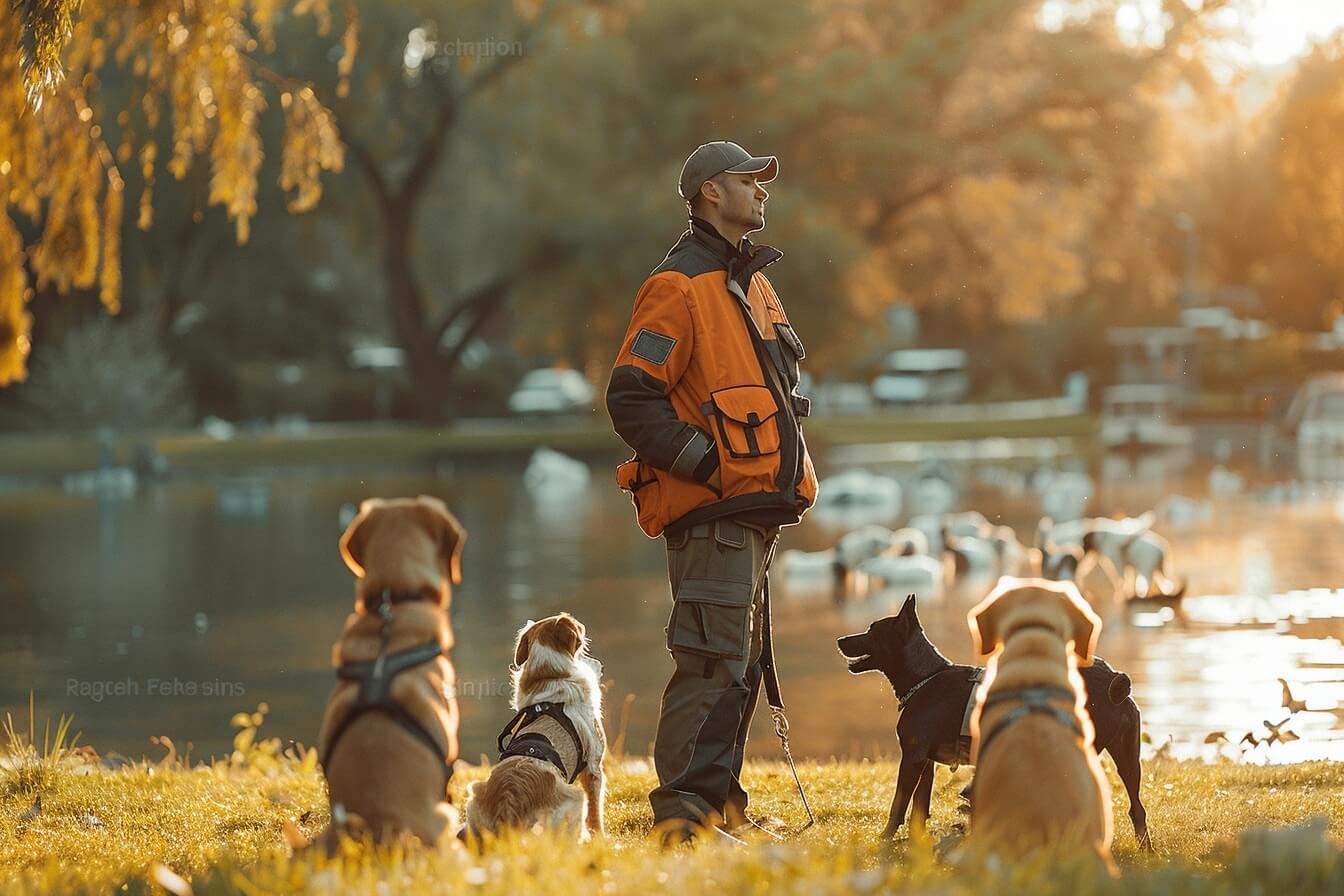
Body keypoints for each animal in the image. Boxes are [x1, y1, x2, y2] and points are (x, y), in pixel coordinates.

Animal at [465, 617, 607, 843]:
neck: (553, 678)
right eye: (582, 653)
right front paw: (601, 840)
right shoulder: (593, 766)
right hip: (576, 799)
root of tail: (509, 807)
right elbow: (596, 813)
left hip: (473, 799)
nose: (599, 664)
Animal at [833, 596, 1150, 848]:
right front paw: (916, 844)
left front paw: (885, 839)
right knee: (1137, 809)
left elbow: (898, 804)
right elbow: (919, 809)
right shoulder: (926, 761)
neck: (925, 677)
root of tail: (1113, 679)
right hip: (1127, 758)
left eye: (872, 630)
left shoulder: (912, 756)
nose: (840, 640)